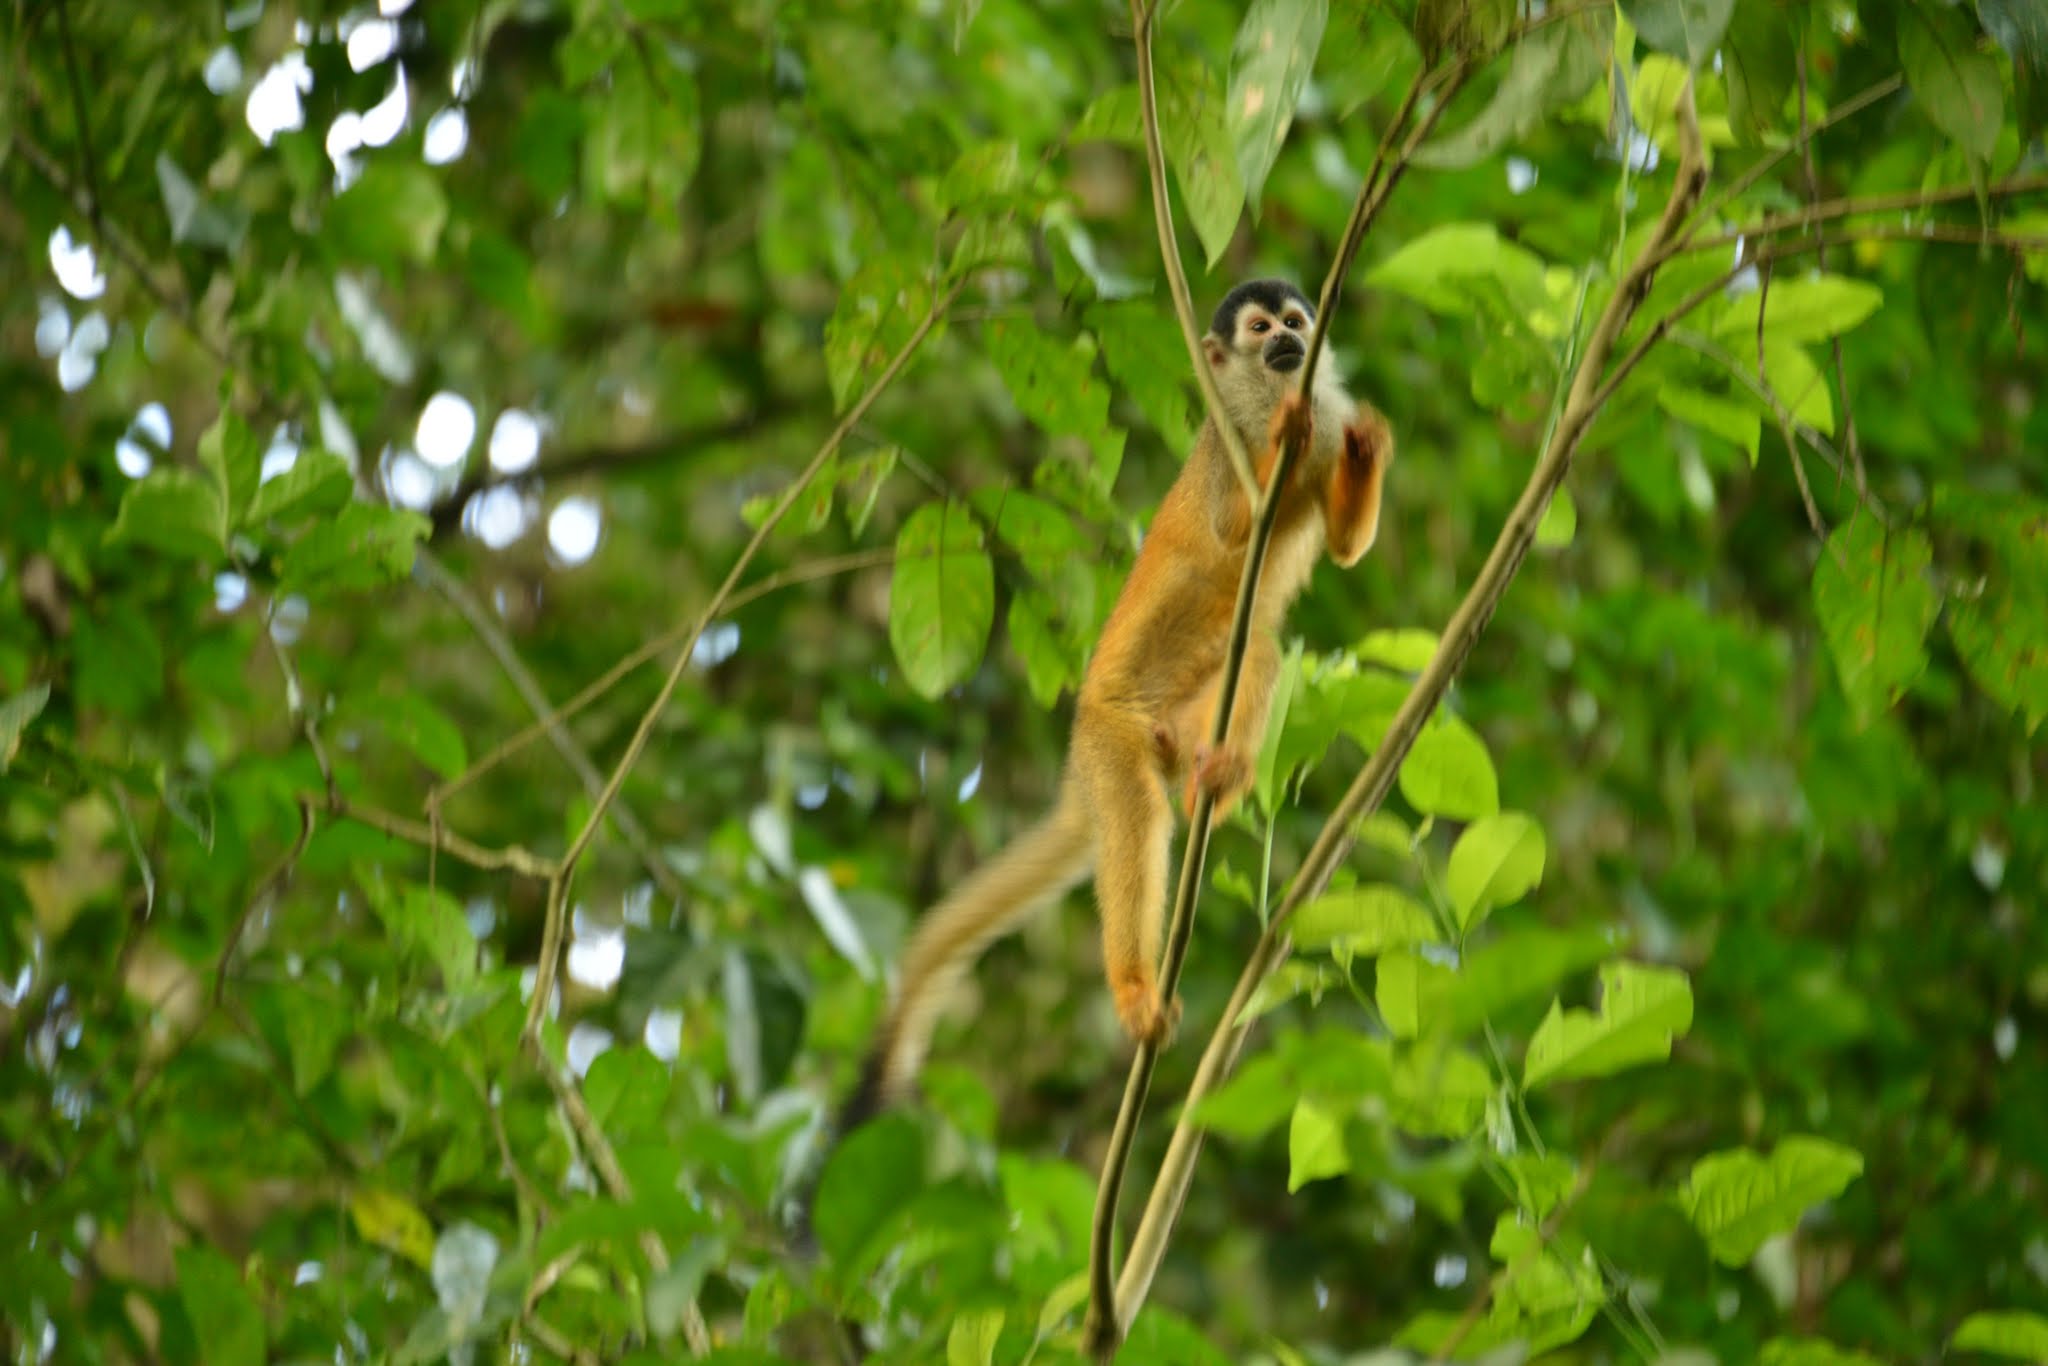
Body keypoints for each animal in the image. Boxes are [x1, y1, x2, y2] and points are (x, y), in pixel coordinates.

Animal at [838, 278, 1392, 1131]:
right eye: (1260, 328)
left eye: (1296, 322)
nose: (1288, 344)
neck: (1262, 395)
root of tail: (1079, 771)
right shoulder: (1220, 445)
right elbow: (1235, 527)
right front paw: (1284, 436)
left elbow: (1343, 546)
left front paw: (1364, 450)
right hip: (1108, 736)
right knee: (1136, 813)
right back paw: (1135, 983)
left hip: (1175, 719)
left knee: (1258, 652)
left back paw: (1213, 778)